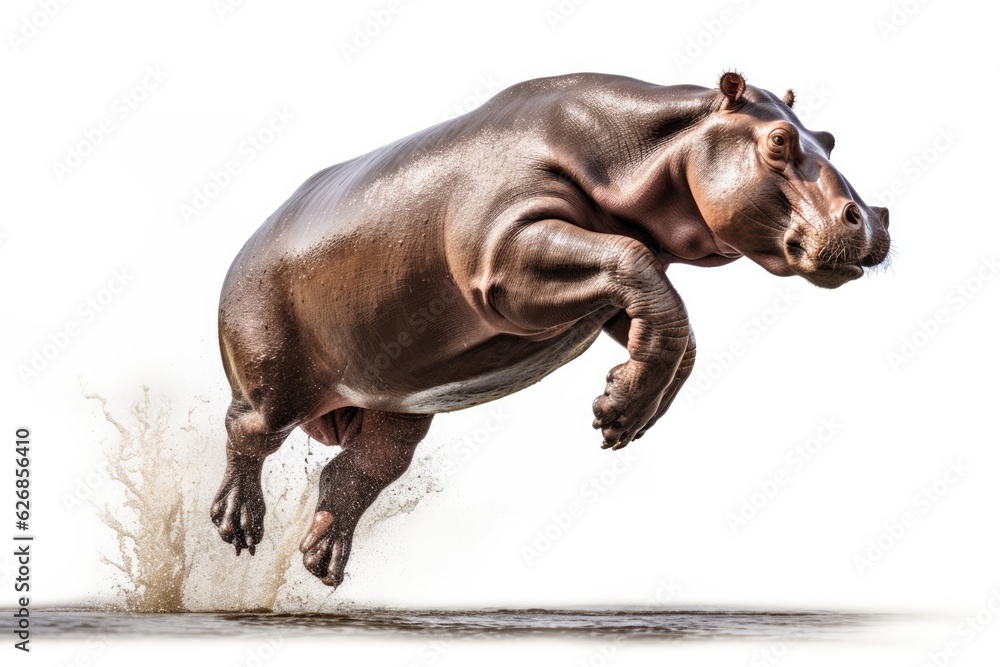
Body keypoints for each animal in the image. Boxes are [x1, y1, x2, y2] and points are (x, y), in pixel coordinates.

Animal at [211, 72, 891, 588]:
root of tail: (243, 246)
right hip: (277, 377)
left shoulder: (610, 297)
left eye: (829, 138)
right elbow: (637, 266)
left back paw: (323, 561)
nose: (872, 217)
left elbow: (672, 321)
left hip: (394, 404)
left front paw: (622, 415)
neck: (650, 149)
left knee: (358, 471)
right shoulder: (508, 253)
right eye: (777, 140)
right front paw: (618, 411)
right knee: (248, 429)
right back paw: (238, 524)